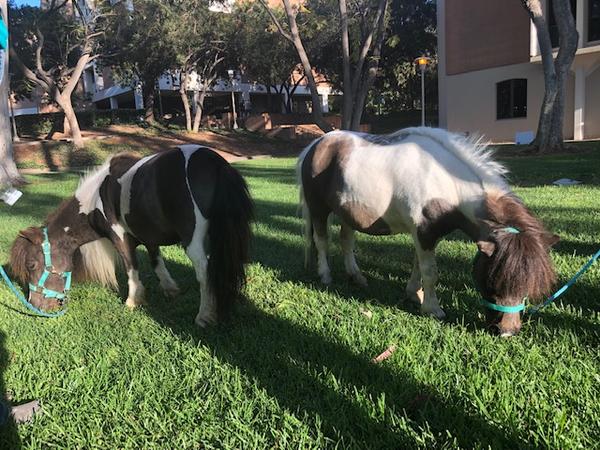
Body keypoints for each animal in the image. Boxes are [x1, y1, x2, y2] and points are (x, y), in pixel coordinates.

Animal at [9, 146, 253, 326]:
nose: (37, 306)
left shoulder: (120, 238)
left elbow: (131, 267)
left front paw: (133, 300)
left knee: (204, 271)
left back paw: (204, 315)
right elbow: (157, 262)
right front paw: (170, 289)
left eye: (31, 265)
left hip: (193, 241)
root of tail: (214, 162)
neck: (94, 200)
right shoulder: (150, 236)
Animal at [298, 128, 560, 336]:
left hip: (347, 213)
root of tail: (314, 146)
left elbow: (418, 267)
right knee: (322, 241)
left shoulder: (424, 235)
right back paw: (325, 276)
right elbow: (430, 272)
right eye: (493, 280)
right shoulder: (424, 233)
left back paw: (357, 277)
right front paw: (433, 309)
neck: (447, 183)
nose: (507, 332)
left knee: (346, 242)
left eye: (527, 286)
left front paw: (415, 294)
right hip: (318, 209)